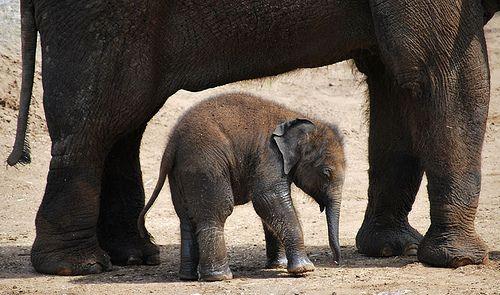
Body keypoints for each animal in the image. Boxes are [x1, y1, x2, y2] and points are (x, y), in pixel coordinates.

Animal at [139, 93, 346, 282]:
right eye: (326, 173)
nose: (336, 262)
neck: (292, 115)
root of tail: (171, 144)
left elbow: (268, 209)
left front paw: (277, 266)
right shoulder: (269, 155)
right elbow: (268, 199)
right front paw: (304, 270)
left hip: (179, 175)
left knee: (186, 218)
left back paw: (187, 277)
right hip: (206, 167)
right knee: (217, 212)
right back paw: (219, 277)